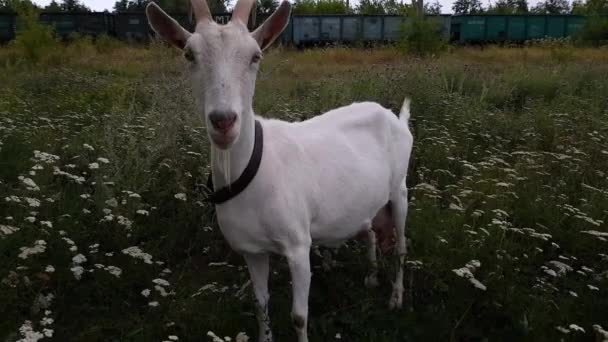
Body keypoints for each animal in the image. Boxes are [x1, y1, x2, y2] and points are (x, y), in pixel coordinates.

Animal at [146, 1, 414, 340]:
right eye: (189, 55)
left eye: (255, 56)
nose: (223, 121)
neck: (253, 171)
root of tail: (395, 118)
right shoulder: (252, 251)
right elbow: (260, 305)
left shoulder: (298, 245)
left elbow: (299, 316)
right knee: (370, 231)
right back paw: (371, 277)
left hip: (400, 190)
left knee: (402, 247)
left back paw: (396, 297)